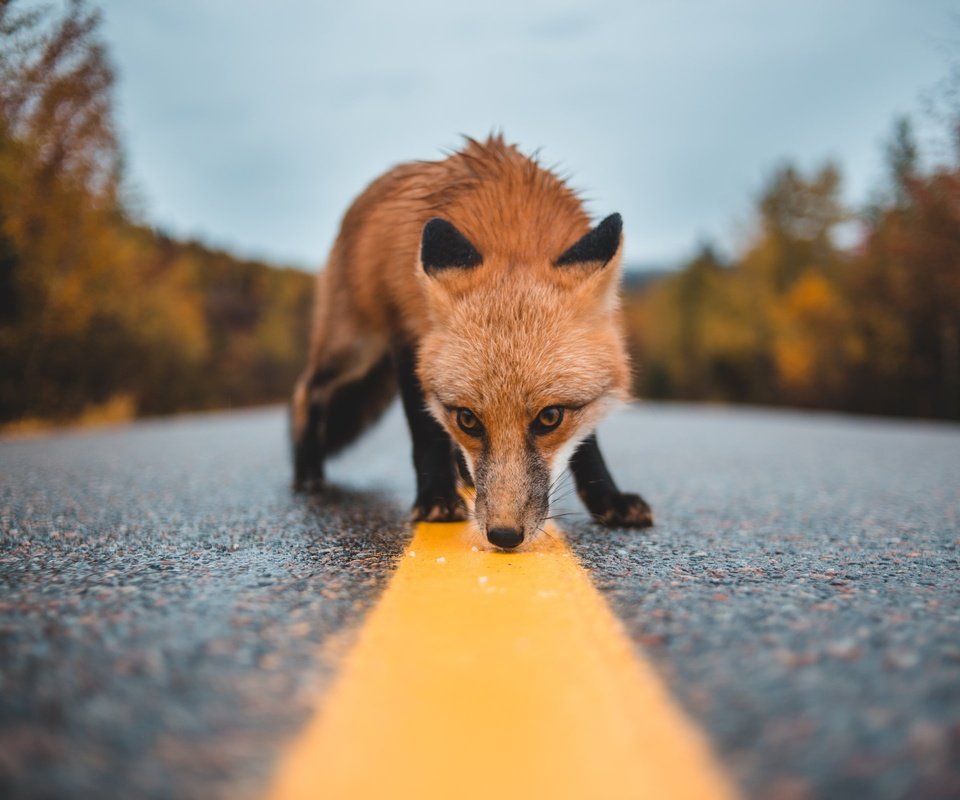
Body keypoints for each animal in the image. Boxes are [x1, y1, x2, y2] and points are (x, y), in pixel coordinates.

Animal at [292, 136, 652, 552]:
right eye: (468, 419)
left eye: (550, 418)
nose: (504, 535)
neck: (512, 228)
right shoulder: (408, 339)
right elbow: (426, 429)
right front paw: (435, 497)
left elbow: (587, 442)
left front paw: (608, 499)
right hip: (354, 348)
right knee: (306, 390)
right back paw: (307, 470)